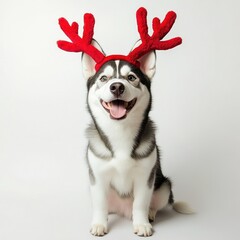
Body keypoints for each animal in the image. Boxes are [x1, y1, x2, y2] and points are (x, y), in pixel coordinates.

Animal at [82, 40, 191, 236]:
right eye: (104, 78)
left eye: (131, 77)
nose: (117, 86)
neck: (120, 132)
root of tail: (122, 210)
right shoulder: (98, 177)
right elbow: (100, 204)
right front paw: (99, 224)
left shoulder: (145, 177)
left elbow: (140, 203)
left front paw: (142, 224)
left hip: (164, 186)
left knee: (155, 202)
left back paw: (151, 214)